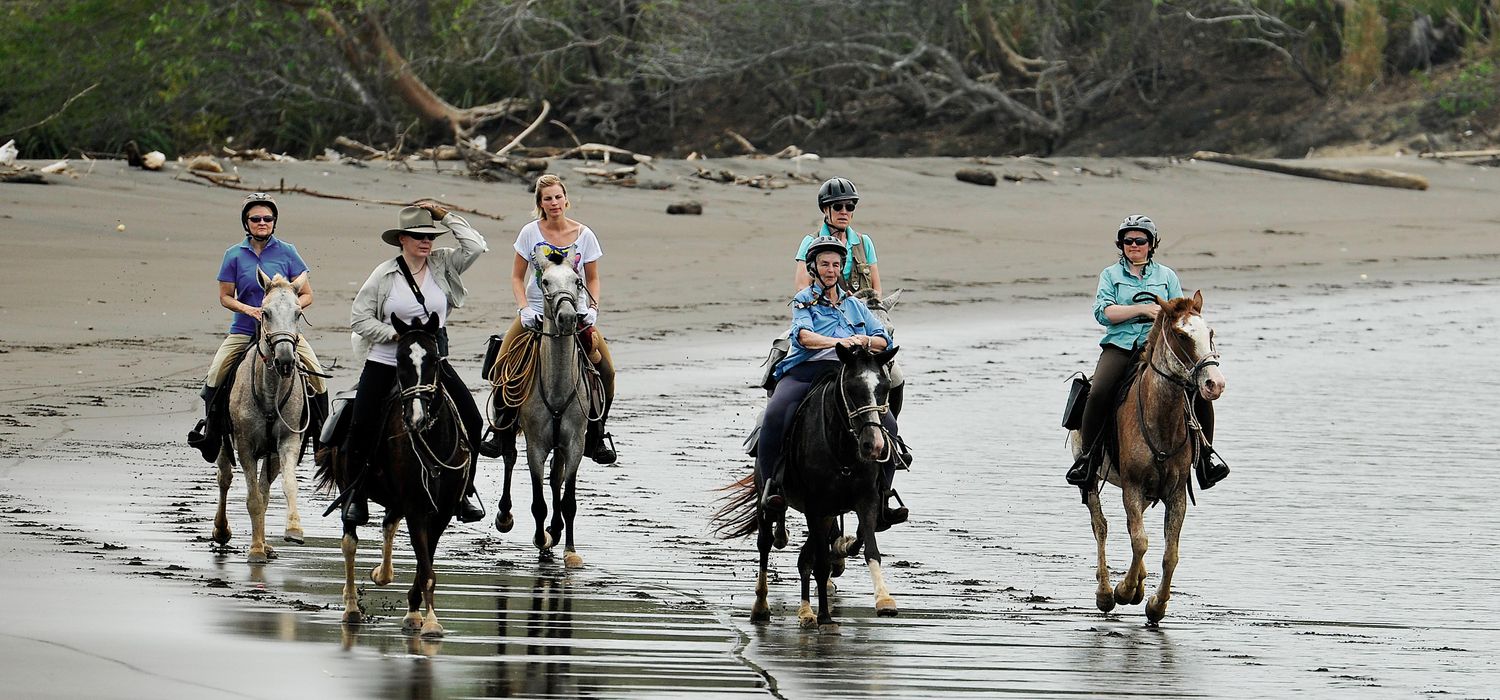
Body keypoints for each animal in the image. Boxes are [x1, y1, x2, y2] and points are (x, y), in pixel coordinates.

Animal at [211, 271, 307, 566]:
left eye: (298, 313)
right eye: (265, 312)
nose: (285, 360)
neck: (270, 390)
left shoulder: (286, 442)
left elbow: (284, 487)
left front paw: (293, 530)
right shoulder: (245, 447)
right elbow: (252, 499)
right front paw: (254, 551)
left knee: (263, 489)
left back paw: (266, 544)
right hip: (223, 442)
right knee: (224, 478)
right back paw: (221, 531)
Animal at [316, 311, 474, 635]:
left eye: (434, 359)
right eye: (400, 359)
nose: (416, 417)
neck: (432, 439)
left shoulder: (441, 511)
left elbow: (425, 562)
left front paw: (416, 614)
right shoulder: (415, 506)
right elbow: (425, 566)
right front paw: (431, 623)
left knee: (389, 523)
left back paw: (382, 574)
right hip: (351, 488)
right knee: (349, 542)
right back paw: (351, 607)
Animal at [486, 251, 591, 569]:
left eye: (578, 281)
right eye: (545, 281)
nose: (568, 318)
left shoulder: (575, 444)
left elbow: (568, 499)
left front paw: (568, 549)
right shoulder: (536, 446)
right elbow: (538, 502)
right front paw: (541, 541)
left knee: (556, 477)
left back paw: (555, 531)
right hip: (508, 423)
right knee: (508, 456)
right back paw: (505, 516)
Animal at [717, 343, 900, 632]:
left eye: (884, 387)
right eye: (851, 387)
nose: (875, 445)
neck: (843, 450)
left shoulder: (866, 499)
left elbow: (870, 548)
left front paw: (884, 600)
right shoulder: (816, 505)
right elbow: (821, 564)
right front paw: (824, 616)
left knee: (807, 556)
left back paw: (806, 610)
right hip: (767, 499)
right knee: (765, 544)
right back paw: (762, 607)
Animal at [1068, 289, 1218, 623]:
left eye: (1210, 333)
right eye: (1181, 335)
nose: (1215, 384)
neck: (1160, 417)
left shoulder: (1176, 493)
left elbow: (1169, 554)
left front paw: (1155, 604)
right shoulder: (1133, 486)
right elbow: (1140, 541)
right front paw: (1125, 591)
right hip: (1090, 478)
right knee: (1101, 527)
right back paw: (1106, 593)